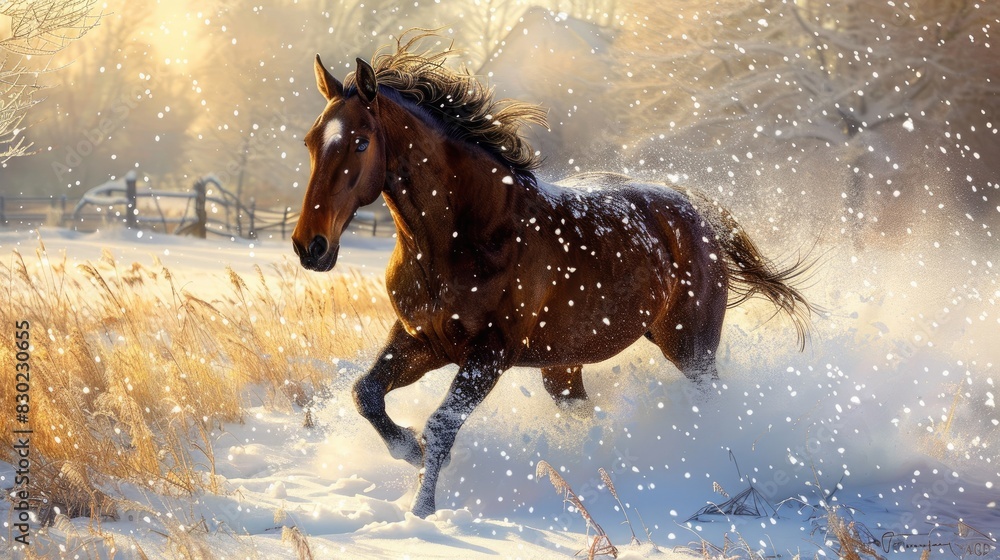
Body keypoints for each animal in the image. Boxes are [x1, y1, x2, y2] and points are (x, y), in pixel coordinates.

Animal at [291, 33, 812, 518]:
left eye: (361, 142)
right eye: (311, 141)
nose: (309, 246)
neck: (469, 236)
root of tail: (694, 209)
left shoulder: (490, 354)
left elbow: (441, 424)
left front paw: (422, 508)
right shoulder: (420, 339)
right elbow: (365, 394)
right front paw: (409, 452)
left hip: (690, 347)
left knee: (713, 401)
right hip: (564, 365)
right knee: (585, 412)